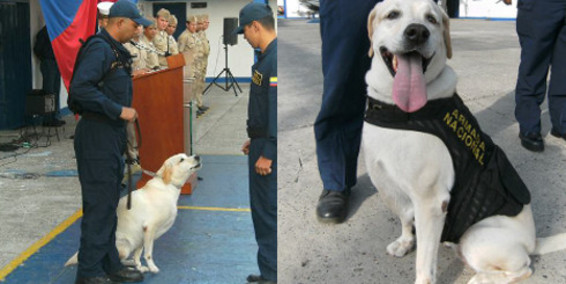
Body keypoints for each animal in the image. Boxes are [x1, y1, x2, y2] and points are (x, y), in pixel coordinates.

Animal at [66, 154, 202, 274]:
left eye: (187, 155)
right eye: (181, 159)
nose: (197, 156)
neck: (168, 186)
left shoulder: (142, 235)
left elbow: (138, 254)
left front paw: (140, 267)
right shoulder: (150, 228)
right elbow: (148, 253)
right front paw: (152, 267)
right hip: (125, 245)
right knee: (111, 262)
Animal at [364, 1, 566, 282]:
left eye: (431, 19)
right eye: (392, 14)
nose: (417, 32)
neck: (398, 109)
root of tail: (533, 241)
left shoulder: (430, 202)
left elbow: (424, 262)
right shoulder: (387, 183)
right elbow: (405, 217)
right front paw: (405, 242)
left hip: (477, 237)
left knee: (523, 268)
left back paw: (480, 278)